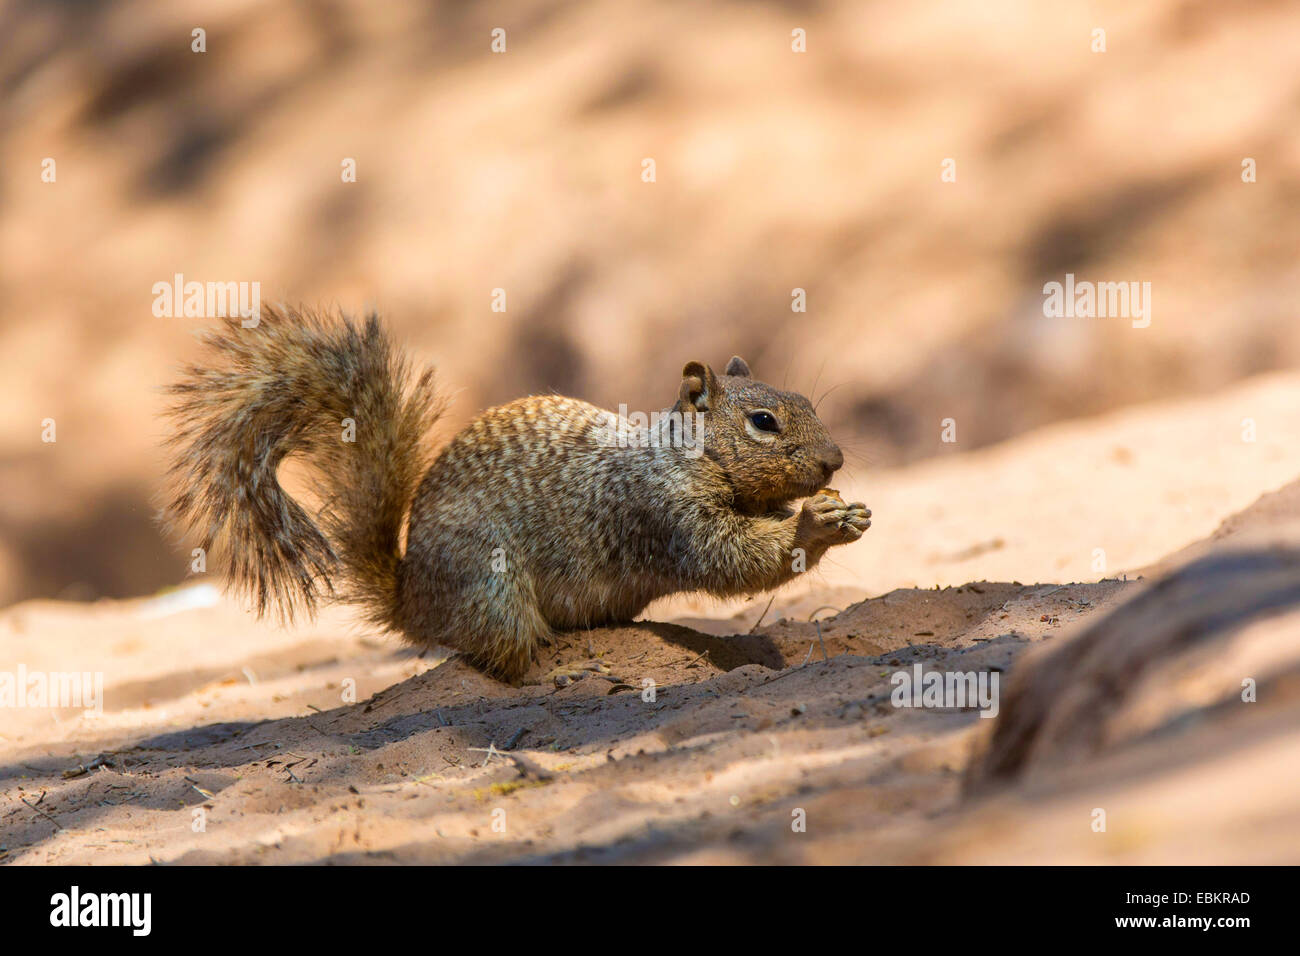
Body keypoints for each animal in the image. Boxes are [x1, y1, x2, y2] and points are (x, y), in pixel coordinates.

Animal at [162, 306, 873, 681]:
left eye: (806, 400)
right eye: (764, 422)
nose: (835, 461)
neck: (682, 454)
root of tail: (411, 599)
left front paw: (847, 514)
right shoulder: (659, 508)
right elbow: (726, 557)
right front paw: (813, 523)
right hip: (493, 583)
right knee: (499, 656)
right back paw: (560, 663)